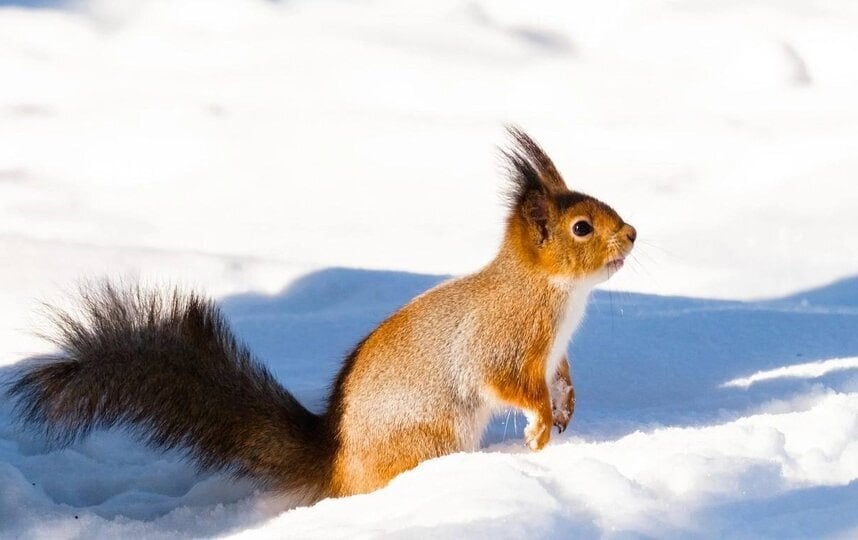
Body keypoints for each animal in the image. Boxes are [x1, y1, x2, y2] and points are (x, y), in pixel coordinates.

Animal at [5, 127, 636, 506]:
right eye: (582, 227)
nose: (631, 233)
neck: (556, 291)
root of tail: (336, 468)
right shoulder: (506, 339)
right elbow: (510, 383)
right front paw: (539, 426)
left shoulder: (553, 353)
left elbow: (560, 378)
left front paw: (566, 407)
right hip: (429, 435)